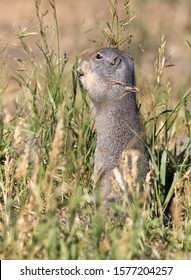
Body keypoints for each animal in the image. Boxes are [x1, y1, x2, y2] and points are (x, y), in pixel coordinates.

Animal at [77, 47, 148, 212]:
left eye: (98, 56)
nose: (89, 55)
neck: (121, 82)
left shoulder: (105, 88)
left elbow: (94, 89)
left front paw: (83, 68)